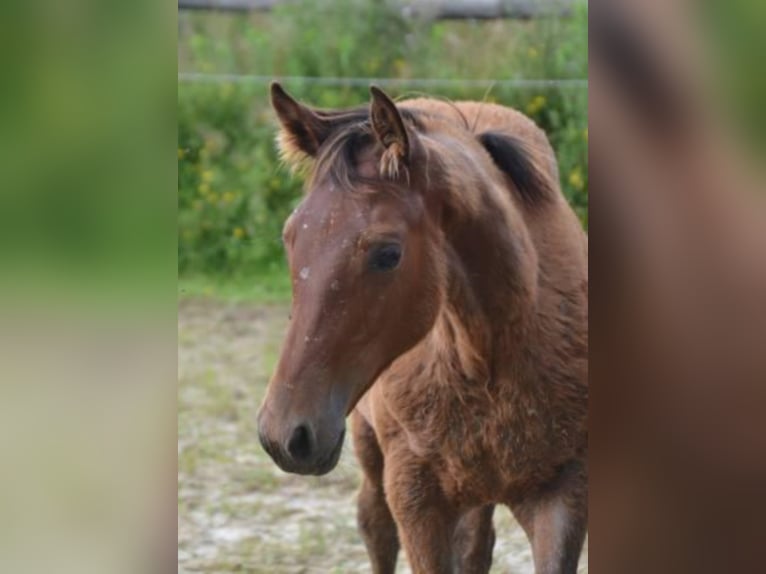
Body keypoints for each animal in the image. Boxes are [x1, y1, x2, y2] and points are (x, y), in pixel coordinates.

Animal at [258, 82, 588, 574]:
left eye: (388, 253)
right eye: (290, 237)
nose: (282, 436)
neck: (485, 358)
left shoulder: (563, 494)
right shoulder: (415, 497)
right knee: (375, 525)